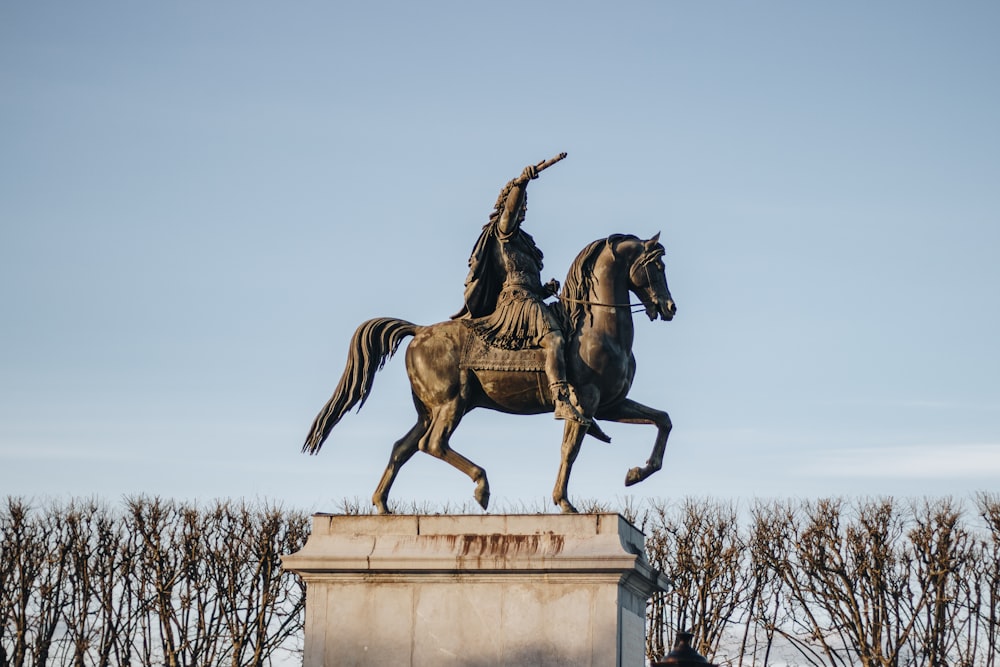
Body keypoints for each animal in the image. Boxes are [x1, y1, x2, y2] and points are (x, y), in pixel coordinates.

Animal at [300, 232, 676, 516]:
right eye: (657, 265)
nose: (670, 307)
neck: (597, 327)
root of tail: (419, 331)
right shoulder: (585, 401)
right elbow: (570, 450)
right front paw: (564, 503)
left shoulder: (611, 405)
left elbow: (663, 420)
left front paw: (636, 473)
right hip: (452, 403)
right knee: (432, 443)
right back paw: (481, 486)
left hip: (431, 409)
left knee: (402, 447)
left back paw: (383, 506)